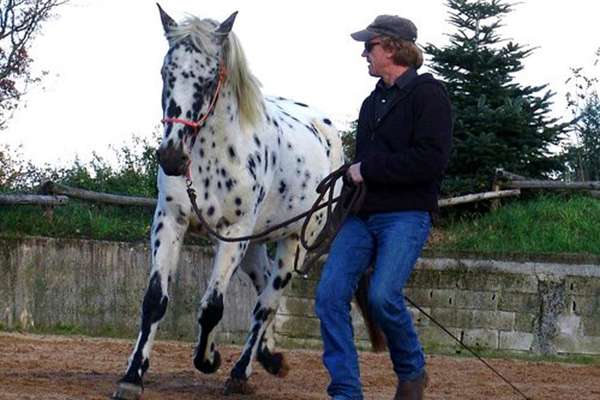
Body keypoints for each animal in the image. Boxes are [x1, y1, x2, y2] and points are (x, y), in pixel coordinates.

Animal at [113, 4, 346, 398]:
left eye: (209, 80)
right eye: (165, 72)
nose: (172, 157)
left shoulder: (232, 231)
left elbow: (212, 306)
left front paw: (209, 359)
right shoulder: (170, 220)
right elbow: (154, 300)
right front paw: (132, 376)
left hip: (292, 241)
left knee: (268, 303)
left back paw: (240, 372)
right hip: (255, 242)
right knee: (262, 289)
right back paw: (269, 358)